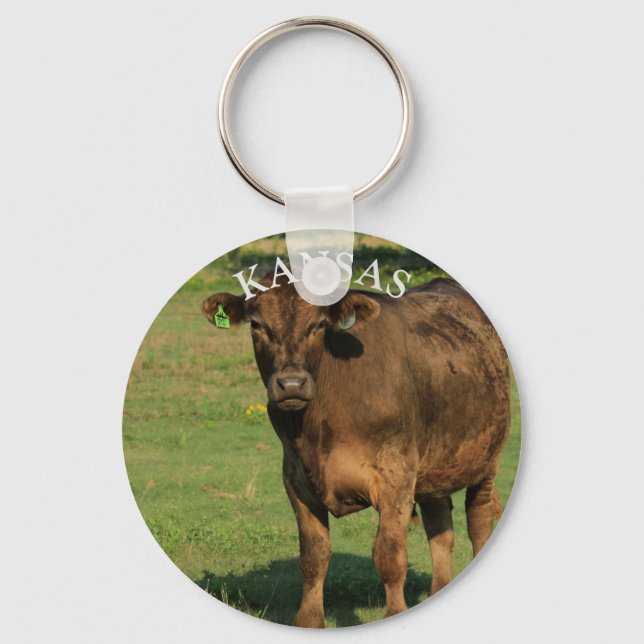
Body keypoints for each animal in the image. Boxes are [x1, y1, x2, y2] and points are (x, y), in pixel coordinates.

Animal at [202, 274, 510, 627]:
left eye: (320, 325)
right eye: (256, 325)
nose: (291, 384)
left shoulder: (395, 476)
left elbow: (389, 555)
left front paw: (395, 612)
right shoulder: (295, 478)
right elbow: (314, 555)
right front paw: (309, 621)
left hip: (487, 457)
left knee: (478, 520)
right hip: (435, 464)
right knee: (440, 527)